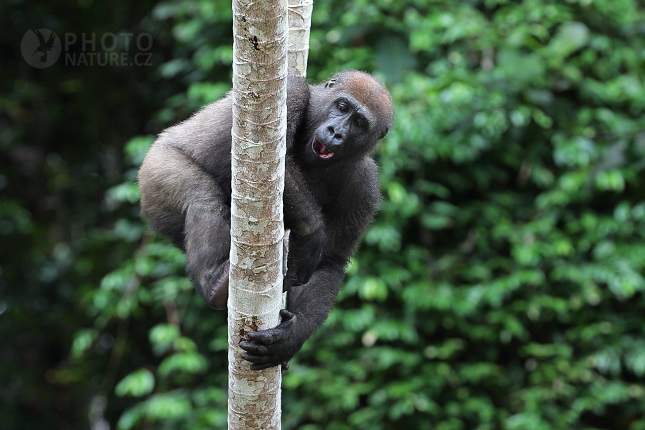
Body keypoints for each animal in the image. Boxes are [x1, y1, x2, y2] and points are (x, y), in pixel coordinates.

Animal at [138, 70, 394, 370]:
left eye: (359, 123)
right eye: (342, 107)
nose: (336, 132)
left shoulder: (365, 188)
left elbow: (330, 261)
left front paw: (291, 339)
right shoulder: (292, 90)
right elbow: (258, 155)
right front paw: (312, 232)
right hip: (154, 173)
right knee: (201, 195)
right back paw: (214, 284)